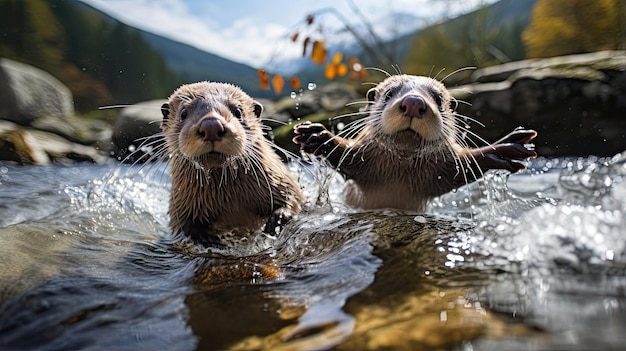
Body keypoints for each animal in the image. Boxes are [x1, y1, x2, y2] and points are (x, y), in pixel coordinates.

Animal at [160, 82, 304, 248]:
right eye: (183, 112)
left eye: (237, 111)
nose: (211, 126)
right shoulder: (180, 211)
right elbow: (187, 229)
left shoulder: (281, 182)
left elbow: (296, 200)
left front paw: (278, 218)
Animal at [292, 74, 532, 212]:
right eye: (389, 93)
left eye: (438, 99)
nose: (414, 102)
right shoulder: (363, 161)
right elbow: (347, 156)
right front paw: (318, 136)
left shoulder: (437, 172)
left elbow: (462, 167)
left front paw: (502, 150)